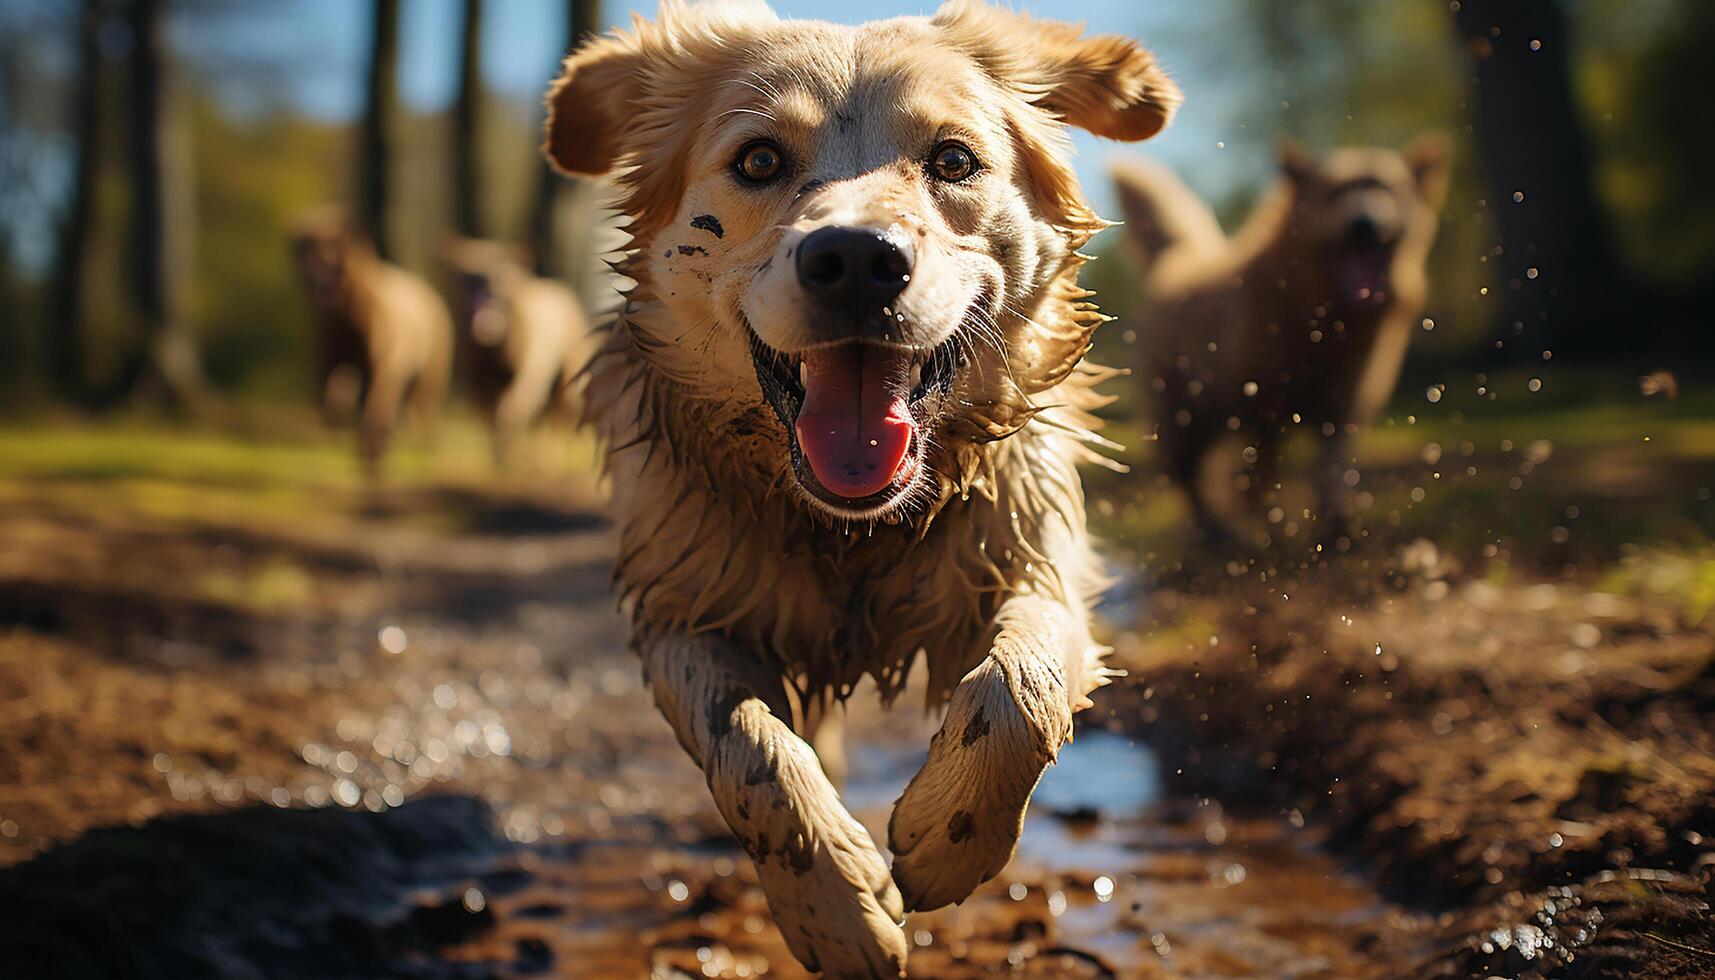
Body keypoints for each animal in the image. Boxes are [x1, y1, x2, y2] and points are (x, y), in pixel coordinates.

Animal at [288, 211, 452, 477]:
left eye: (335, 263)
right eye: (306, 269)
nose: (321, 293)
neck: (348, 325)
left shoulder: (384, 364)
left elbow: (376, 408)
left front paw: (374, 453)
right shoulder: (328, 355)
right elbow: (332, 398)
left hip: (430, 368)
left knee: (424, 406)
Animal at [541, 0, 1173, 974]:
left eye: (952, 159)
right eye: (759, 160)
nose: (855, 261)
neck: (850, 532)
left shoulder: (1033, 562)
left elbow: (1017, 693)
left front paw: (950, 838)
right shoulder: (681, 609)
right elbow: (748, 747)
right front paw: (835, 913)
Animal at [1111, 138, 1447, 549]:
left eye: (1386, 189)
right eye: (1334, 192)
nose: (1364, 224)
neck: (1323, 322)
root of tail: (1176, 256)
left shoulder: (1342, 403)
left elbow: (1332, 468)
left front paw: (1336, 526)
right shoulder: (1261, 405)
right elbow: (1260, 468)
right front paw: (1254, 511)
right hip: (1180, 417)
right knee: (1189, 480)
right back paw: (1216, 531)